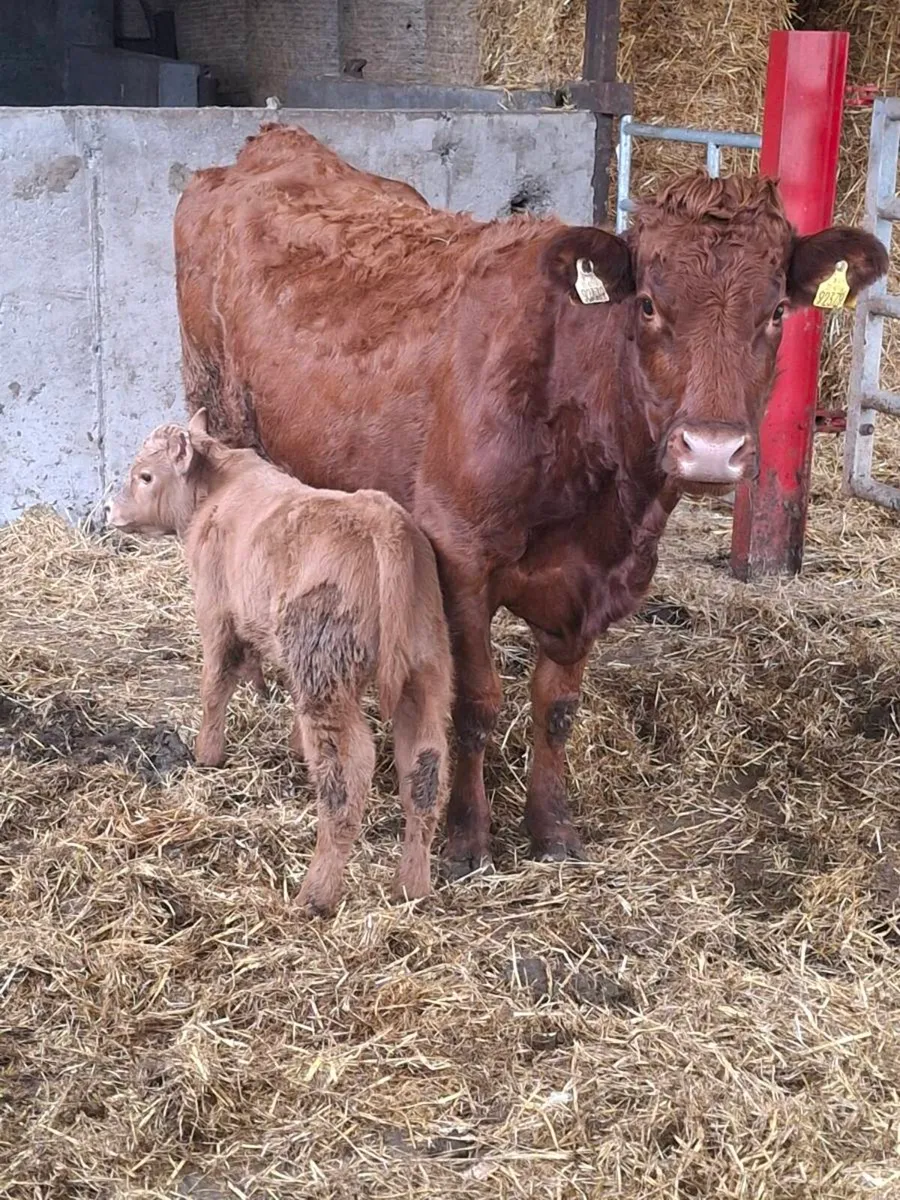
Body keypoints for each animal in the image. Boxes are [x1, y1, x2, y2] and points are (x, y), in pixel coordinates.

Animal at [106, 409, 453, 916]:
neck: (220, 489)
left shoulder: (216, 615)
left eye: (145, 476)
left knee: (347, 777)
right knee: (425, 769)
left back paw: (316, 895)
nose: (109, 511)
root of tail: (381, 521)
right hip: (425, 672)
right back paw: (411, 887)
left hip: (327, 680)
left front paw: (207, 754)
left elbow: (215, 685)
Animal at [174, 123, 888, 880]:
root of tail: (275, 141)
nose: (712, 448)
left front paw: (551, 827)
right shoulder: (459, 559)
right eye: (648, 304)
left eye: (777, 311)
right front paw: (466, 836)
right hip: (222, 414)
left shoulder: (599, 580)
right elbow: (476, 703)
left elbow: (557, 706)